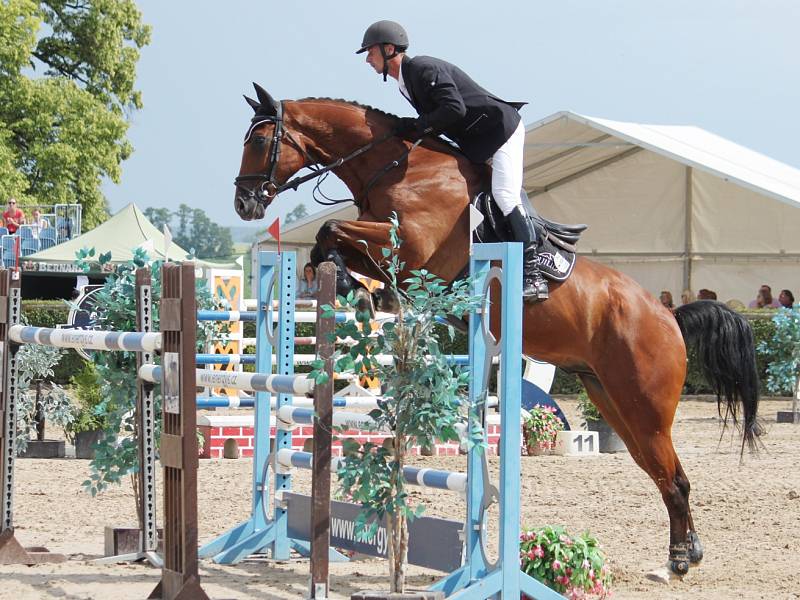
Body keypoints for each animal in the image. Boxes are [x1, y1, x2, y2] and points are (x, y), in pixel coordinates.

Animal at [233, 84, 764, 580]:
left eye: (258, 141)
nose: (243, 203)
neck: (402, 169)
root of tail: (668, 316)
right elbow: (330, 243)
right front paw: (354, 288)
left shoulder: (412, 247)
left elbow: (334, 231)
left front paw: (358, 290)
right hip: (613, 400)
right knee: (664, 474)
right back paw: (687, 552)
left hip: (645, 407)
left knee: (673, 478)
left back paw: (679, 560)